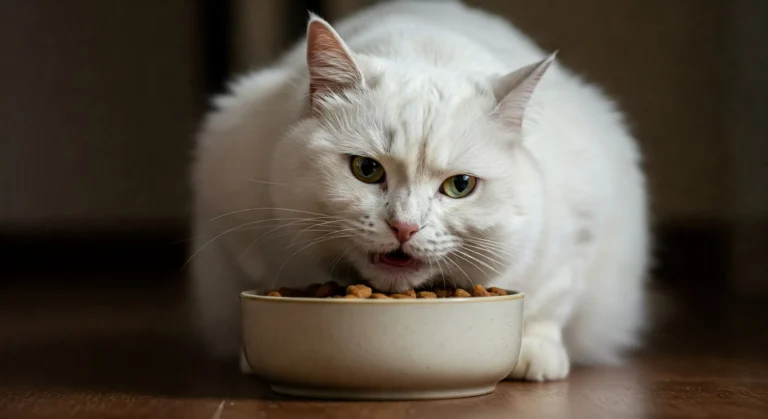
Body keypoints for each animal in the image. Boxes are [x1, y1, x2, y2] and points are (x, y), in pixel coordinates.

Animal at [190, 0, 648, 382]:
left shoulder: (581, 226)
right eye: (366, 170)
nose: (404, 227)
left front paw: (535, 352)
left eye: (460, 185)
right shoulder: (237, 215)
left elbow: (549, 301)